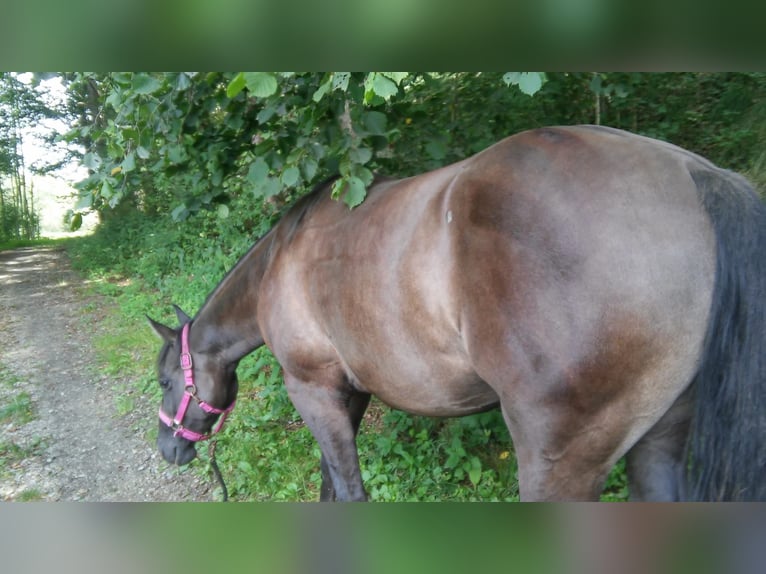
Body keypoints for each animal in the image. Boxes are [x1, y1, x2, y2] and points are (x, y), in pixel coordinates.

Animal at [149, 125, 766, 501]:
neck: (287, 258)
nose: (169, 449)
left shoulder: (311, 388)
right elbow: (332, 483)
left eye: (164, 379)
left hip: (560, 459)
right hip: (662, 439)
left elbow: (347, 487)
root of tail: (696, 177)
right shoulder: (347, 392)